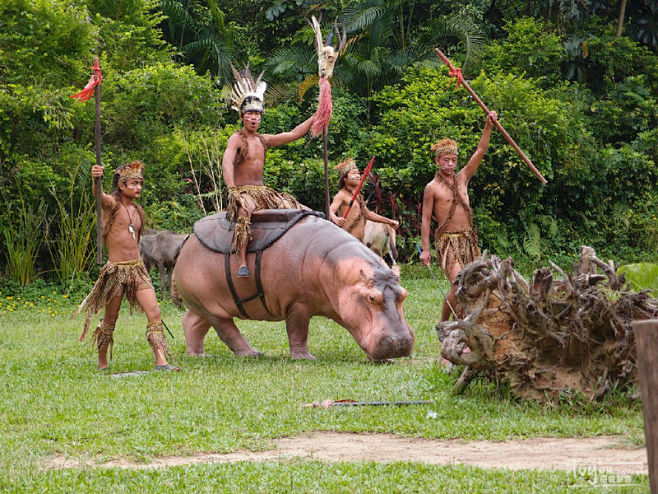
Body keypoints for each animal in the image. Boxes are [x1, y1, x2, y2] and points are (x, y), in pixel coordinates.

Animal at [172, 208, 412, 358]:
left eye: (404, 294)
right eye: (372, 297)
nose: (401, 343)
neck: (337, 271)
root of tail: (187, 241)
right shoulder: (298, 304)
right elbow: (298, 331)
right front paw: (305, 358)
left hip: (203, 304)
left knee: (191, 323)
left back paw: (199, 355)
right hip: (215, 308)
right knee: (227, 331)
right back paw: (254, 354)